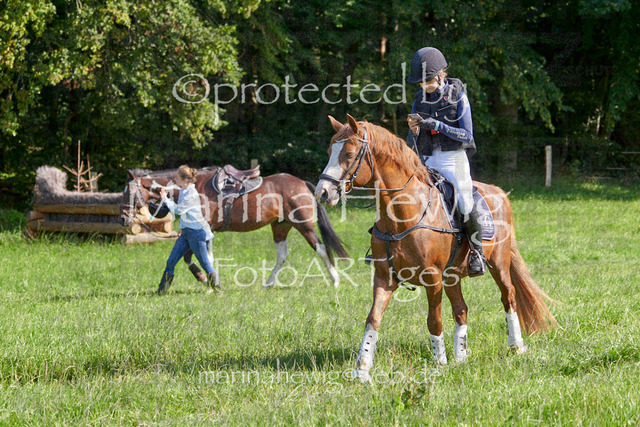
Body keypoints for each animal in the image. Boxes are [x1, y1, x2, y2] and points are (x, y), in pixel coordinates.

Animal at [122, 166, 348, 288]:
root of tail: (302, 183)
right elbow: (191, 257)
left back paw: (336, 279)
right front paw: (207, 279)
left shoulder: (203, 230)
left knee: (320, 248)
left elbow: (200, 257)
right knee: (283, 255)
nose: (124, 219)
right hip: (280, 227)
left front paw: (208, 279)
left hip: (303, 225)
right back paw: (268, 283)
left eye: (129, 193)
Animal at [314, 114, 557, 382]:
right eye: (329, 151)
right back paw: (460, 356)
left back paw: (516, 345)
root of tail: (500, 192)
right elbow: (373, 319)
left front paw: (439, 361)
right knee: (461, 309)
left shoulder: (432, 278)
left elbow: (434, 320)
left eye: (348, 153)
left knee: (509, 296)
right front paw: (362, 368)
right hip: (453, 276)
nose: (322, 193)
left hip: (499, 264)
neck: (401, 215)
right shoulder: (384, 277)